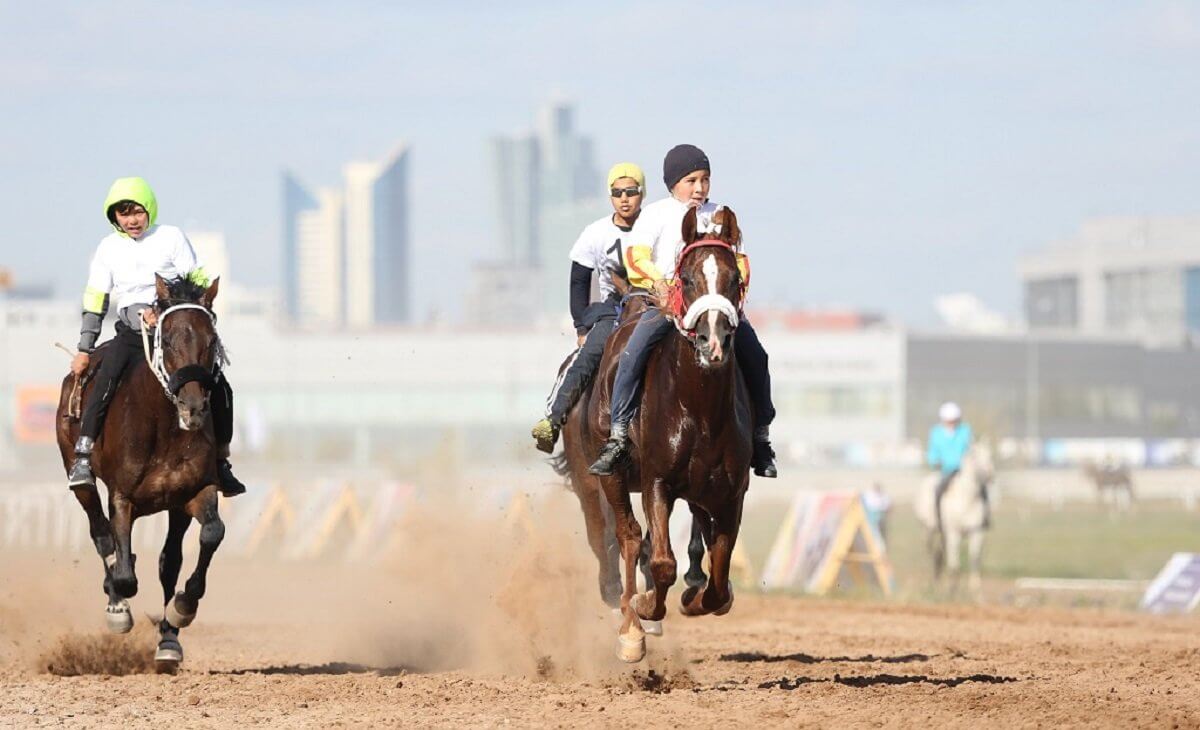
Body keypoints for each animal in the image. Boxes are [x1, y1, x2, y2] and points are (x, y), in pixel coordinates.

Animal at [56, 273, 229, 672]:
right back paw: (117, 603)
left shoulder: (195, 493)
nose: (194, 407)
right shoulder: (123, 498)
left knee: (169, 561)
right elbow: (123, 573)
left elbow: (210, 535)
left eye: (211, 340)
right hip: (81, 480)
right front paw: (117, 602)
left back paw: (168, 641)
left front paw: (181, 611)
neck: (163, 426)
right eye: (168, 339)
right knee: (100, 534)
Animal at [559, 204, 748, 662]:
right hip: (599, 479)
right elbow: (660, 562)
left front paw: (697, 599)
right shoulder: (656, 481)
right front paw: (643, 611)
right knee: (621, 540)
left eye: (734, 279)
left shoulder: (730, 492)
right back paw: (629, 620)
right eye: (688, 278)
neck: (699, 410)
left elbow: (718, 578)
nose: (713, 342)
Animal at [916, 444, 993, 597]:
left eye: (990, 455)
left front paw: (975, 588)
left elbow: (974, 558)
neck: (967, 499)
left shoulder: (977, 531)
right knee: (935, 553)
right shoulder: (954, 532)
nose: (990, 474)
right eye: (974, 457)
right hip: (931, 531)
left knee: (941, 554)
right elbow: (954, 562)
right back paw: (936, 581)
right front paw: (951, 589)